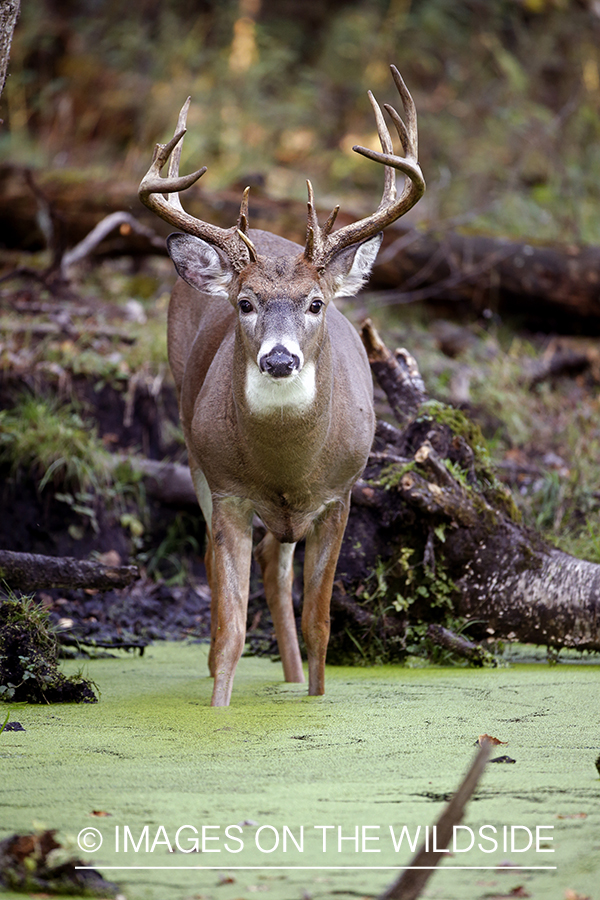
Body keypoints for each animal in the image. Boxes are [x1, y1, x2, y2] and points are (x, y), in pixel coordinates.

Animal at [138, 67, 424, 708]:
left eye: (315, 303)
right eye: (245, 303)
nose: (277, 357)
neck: (289, 465)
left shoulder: (340, 494)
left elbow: (321, 625)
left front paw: (314, 697)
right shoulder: (228, 492)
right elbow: (230, 632)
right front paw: (218, 709)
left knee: (276, 562)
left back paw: (292, 680)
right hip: (193, 448)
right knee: (230, 560)